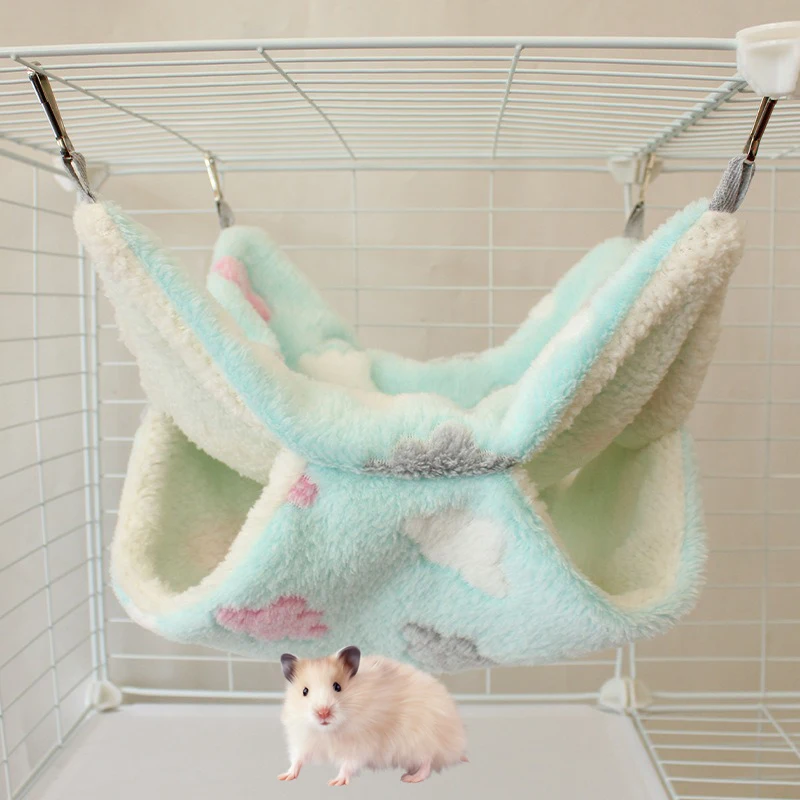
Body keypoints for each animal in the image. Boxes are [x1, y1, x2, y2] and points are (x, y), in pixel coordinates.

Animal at [277, 645, 468, 786]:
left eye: (337, 686)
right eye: (304, 691)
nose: (323, 713)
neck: (329, 731)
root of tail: (457, 745)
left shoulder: (361, 744)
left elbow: (348, 764)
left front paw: (335, 782)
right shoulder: (303, 739)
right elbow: (297, 759)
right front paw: (284, 776)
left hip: (421, 739)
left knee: (428, 761)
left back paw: (410, 778)